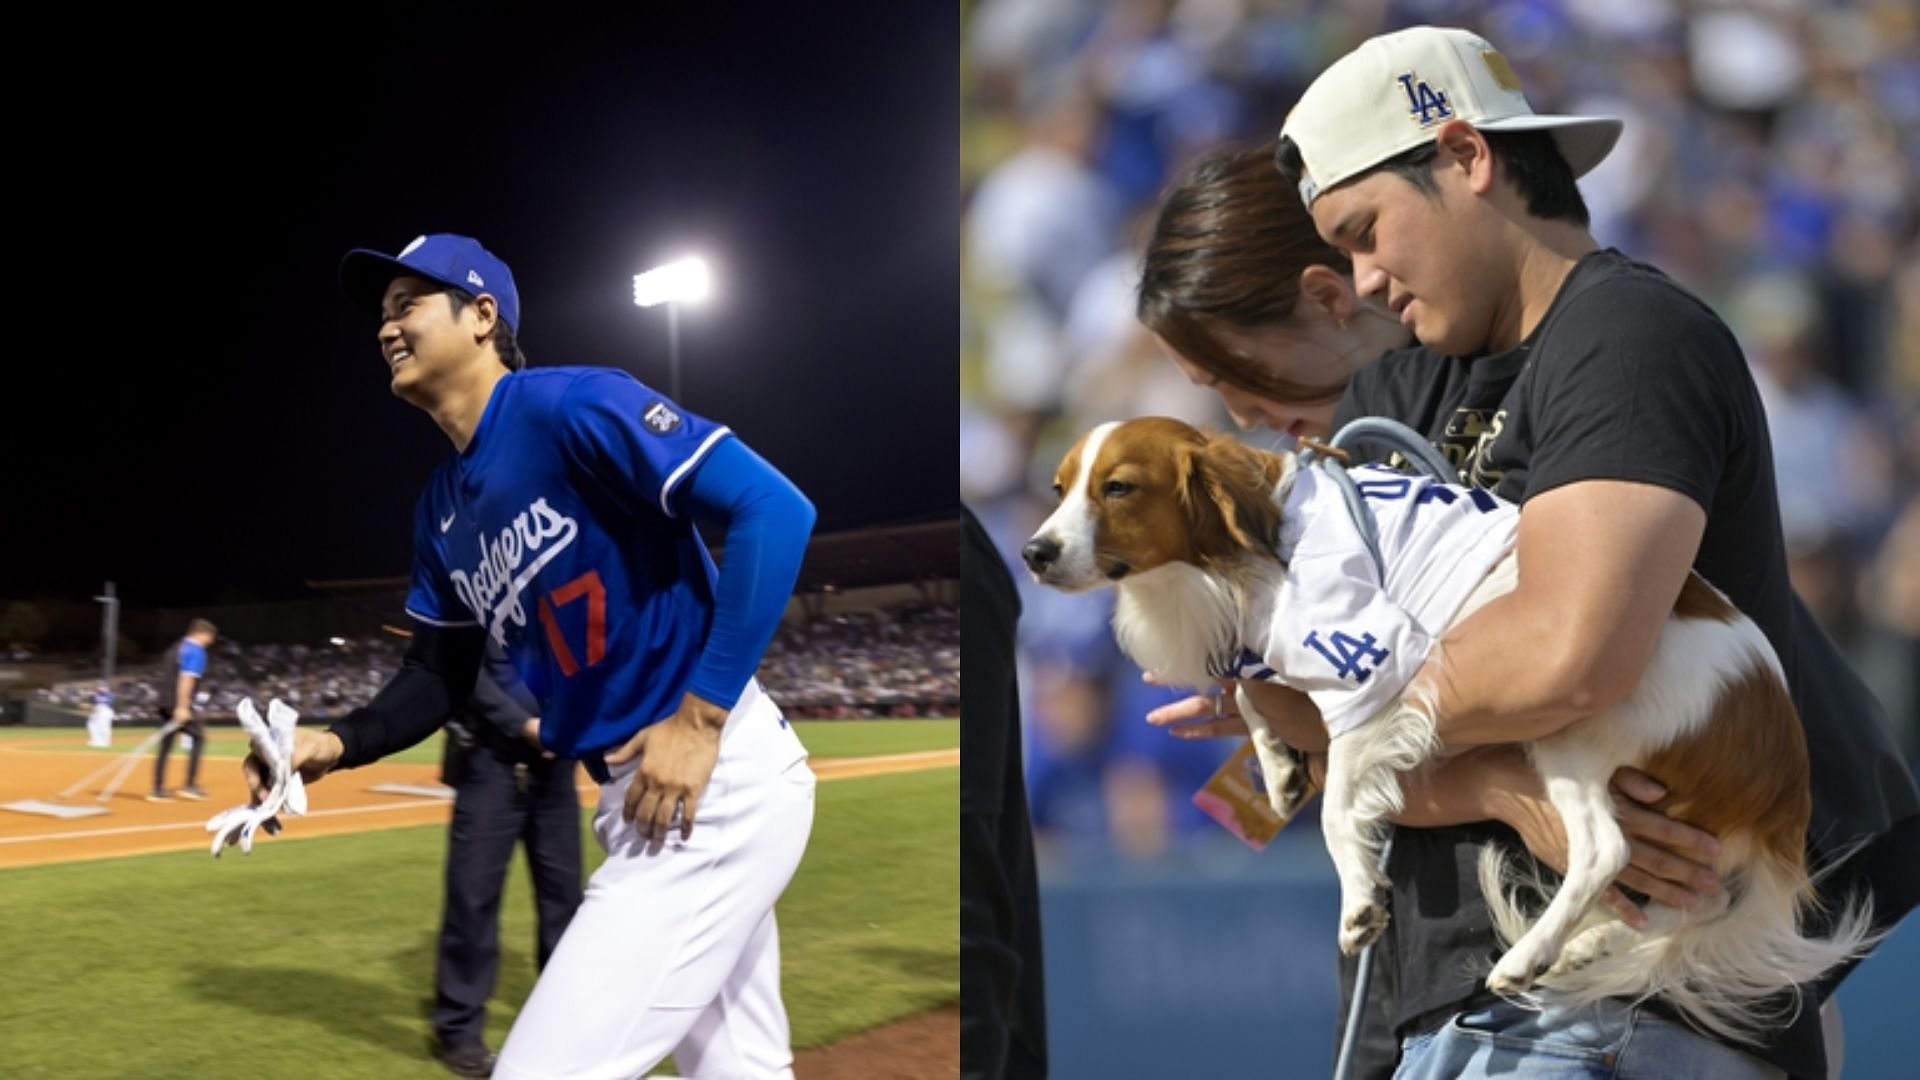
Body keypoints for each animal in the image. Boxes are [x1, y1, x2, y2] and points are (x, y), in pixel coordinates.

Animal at [1021, 413, 1873, 1045]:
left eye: (1119, 488)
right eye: (1058, 488)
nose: (1033, 551)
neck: (1240, 550)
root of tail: (1782, 760)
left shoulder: (1375, 666)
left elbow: (1339, 810)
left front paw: (1358, 897)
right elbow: (1261, 694)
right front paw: (1280, 765)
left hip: (1576, 729)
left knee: (1607, 850)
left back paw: (1528, 955)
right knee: (1683, 901)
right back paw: (1585, 945)